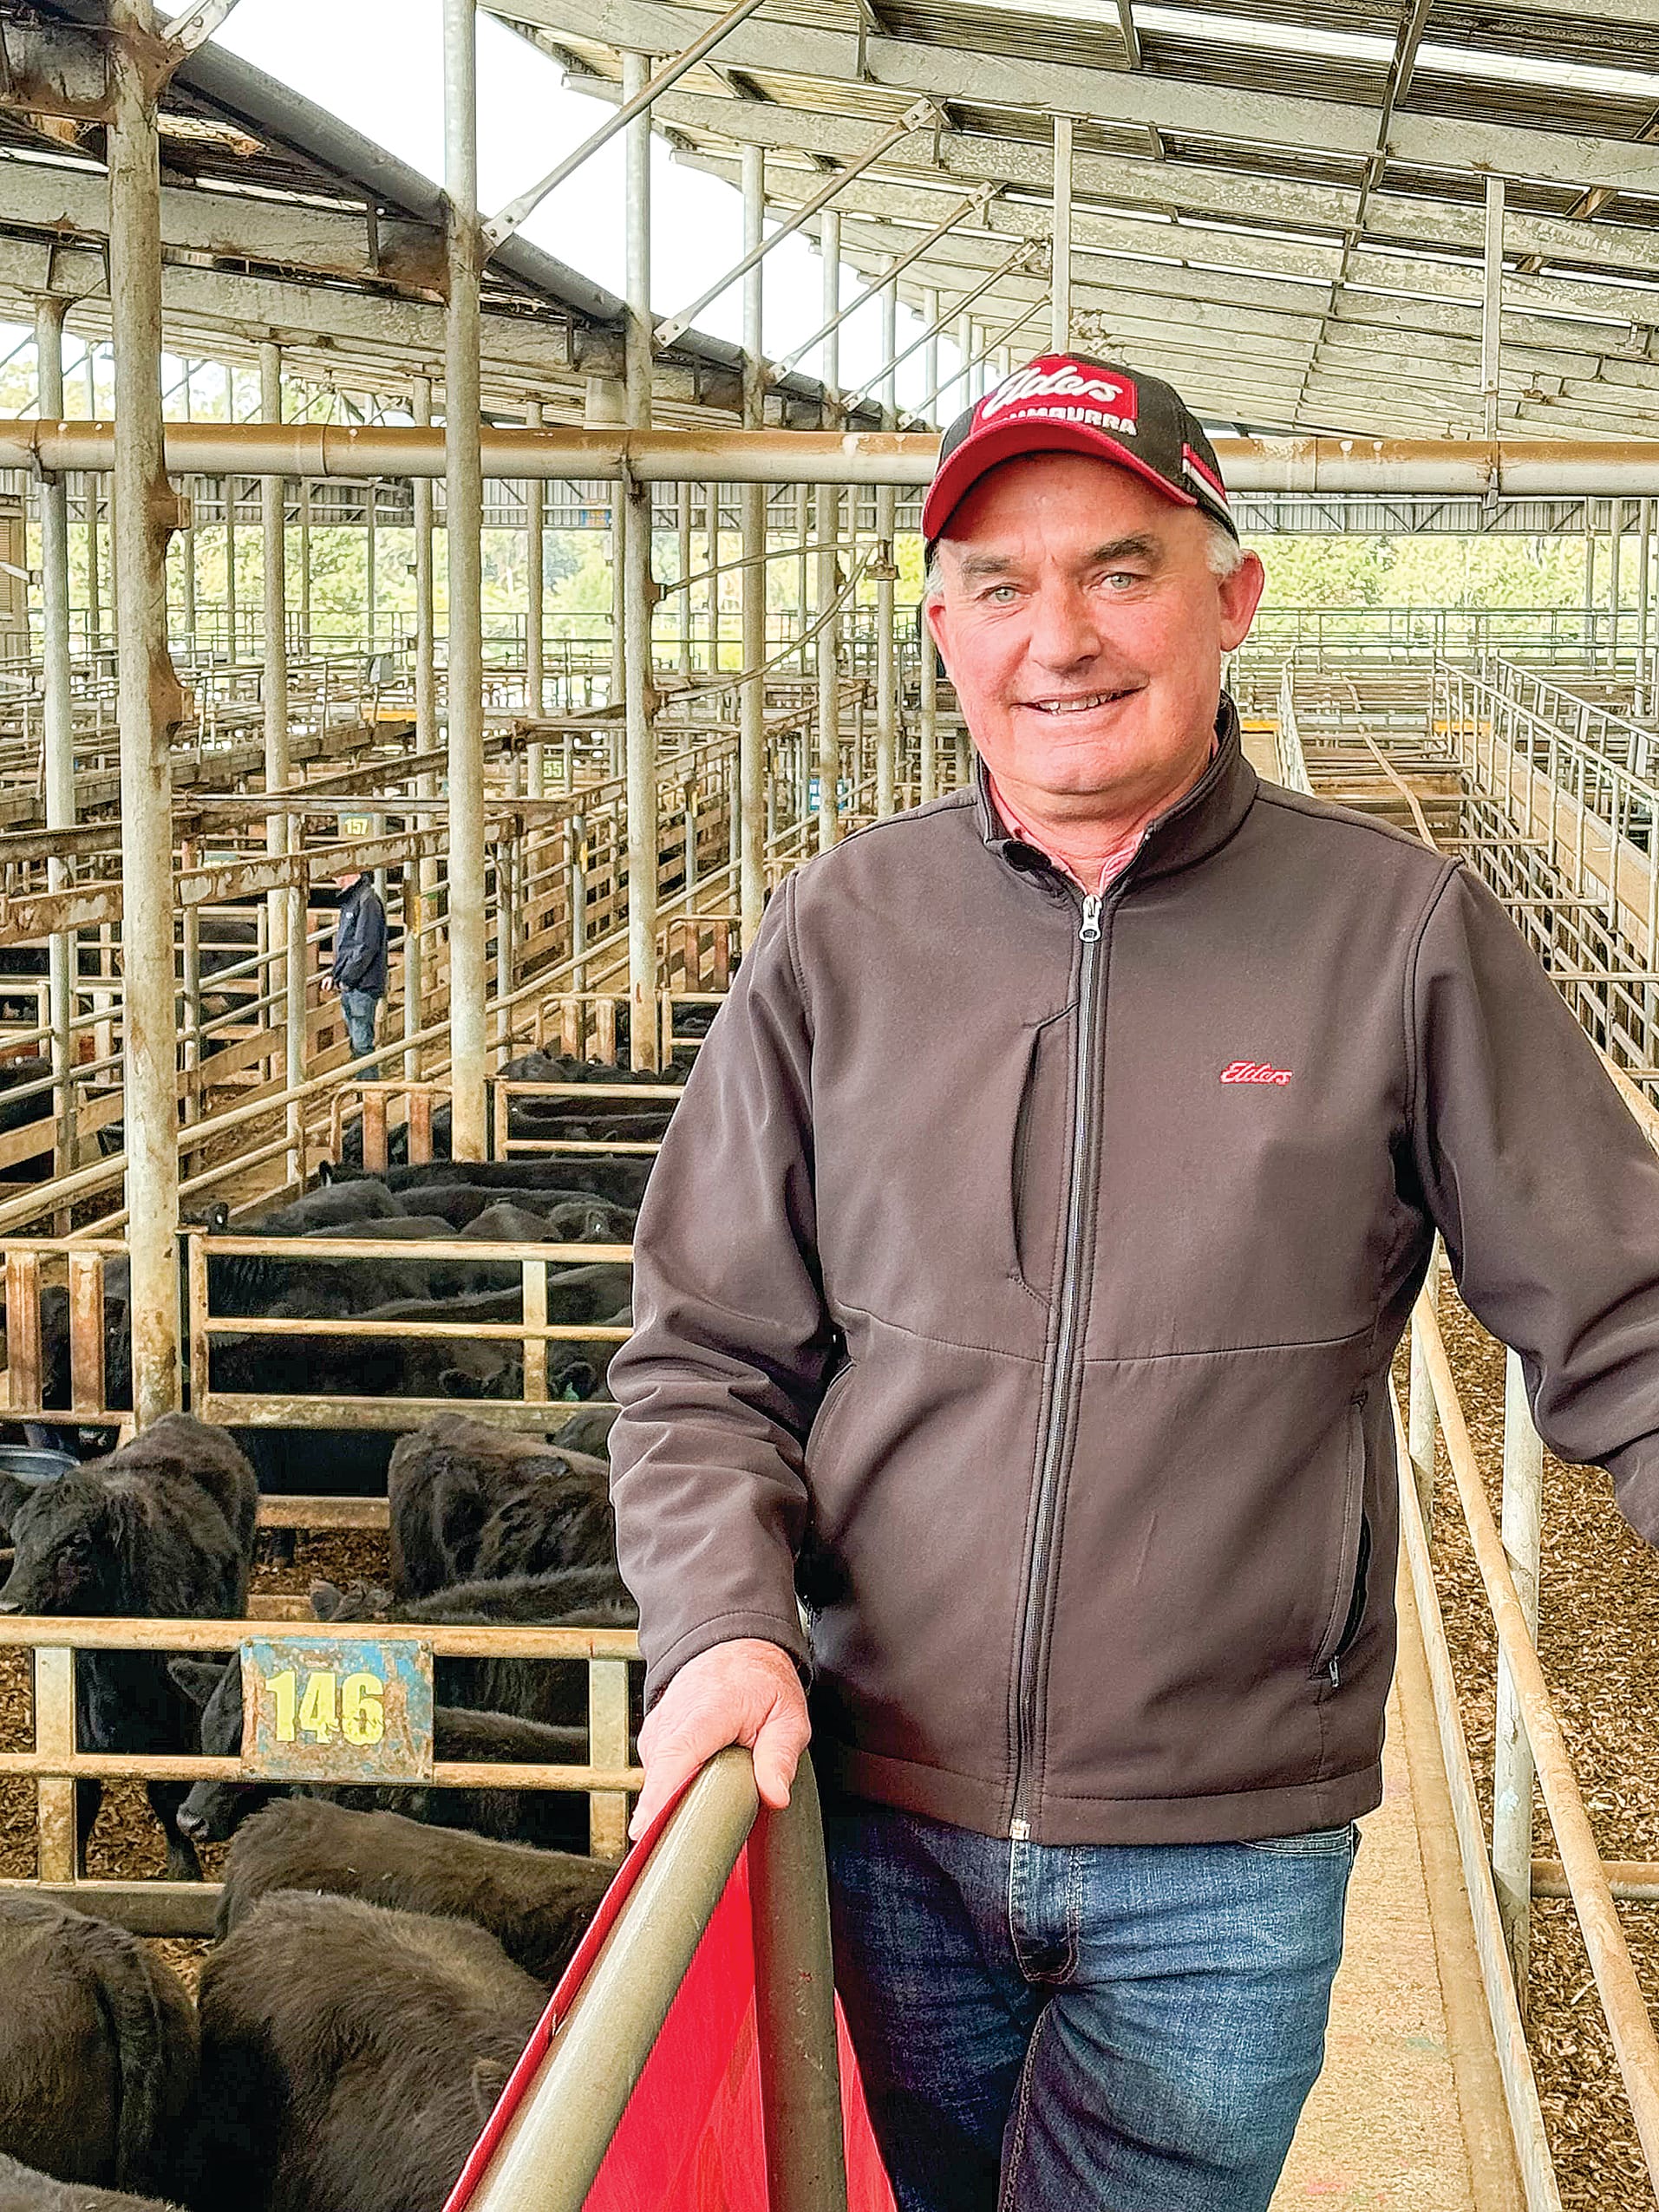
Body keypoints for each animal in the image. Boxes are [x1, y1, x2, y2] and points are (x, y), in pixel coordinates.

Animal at [0, 1417, 257, 1878]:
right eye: (17, 1535)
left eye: (77, 1541)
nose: (9, 1605)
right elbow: (78, 1801)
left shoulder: (177, 1723)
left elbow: (166, 1792)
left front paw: (184, 1871)